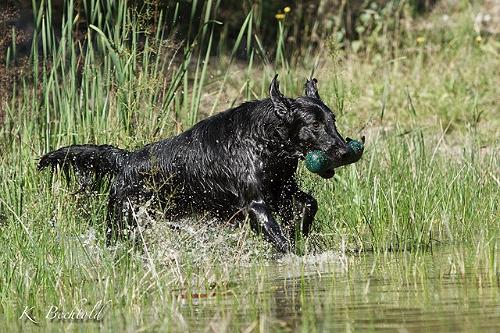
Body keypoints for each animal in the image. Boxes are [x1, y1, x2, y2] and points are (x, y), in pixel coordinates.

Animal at [39, 75, 352, 252]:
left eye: (332, 120)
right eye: (314, 124)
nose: (345, 151)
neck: (265, 140)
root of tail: (126, 159)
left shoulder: (281, 189)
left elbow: (309, 203)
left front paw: (301, 230)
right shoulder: (255, 204)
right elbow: (280, 239)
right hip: (123, 219)